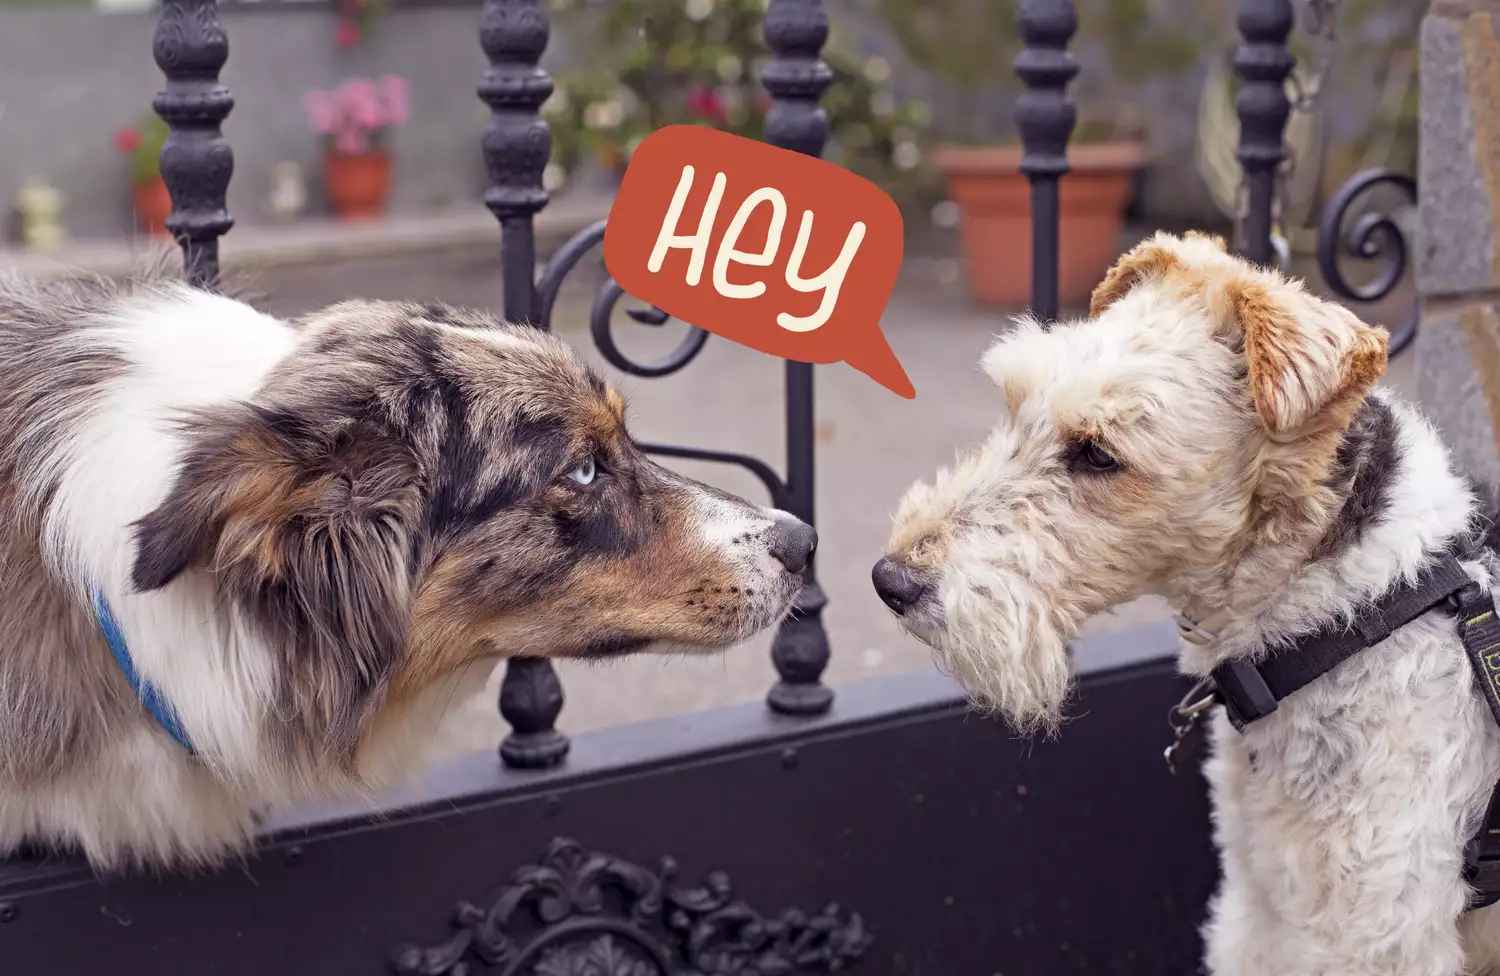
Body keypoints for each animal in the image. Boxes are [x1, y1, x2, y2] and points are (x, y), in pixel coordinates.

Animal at [876, 230, 1500, 976]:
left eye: (1098, 453)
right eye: (1014, 403)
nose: (892, 580)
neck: (1352, 618)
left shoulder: (1379, 928)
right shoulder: (1259, 893)